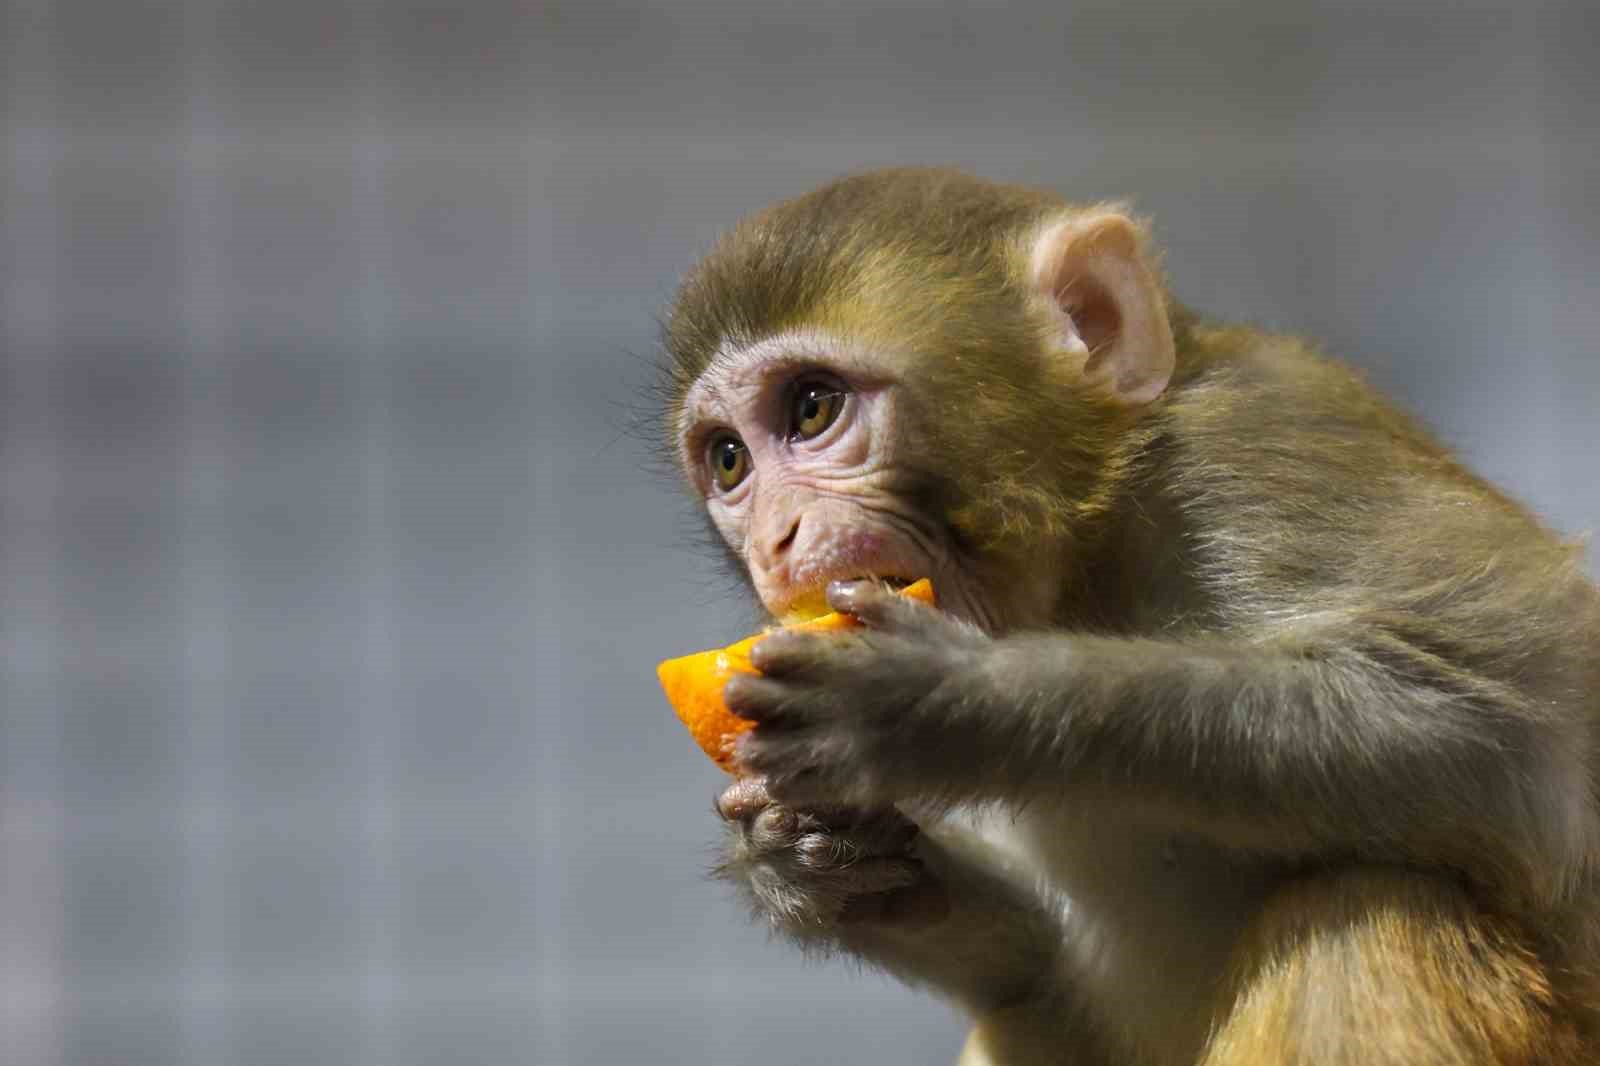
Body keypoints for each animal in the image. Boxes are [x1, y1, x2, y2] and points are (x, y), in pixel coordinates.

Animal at [652, 168, 1600, 1062]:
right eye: (730, 460)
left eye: (812, 407)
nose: (774, 541)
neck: (1093, 560)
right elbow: (1040, 978)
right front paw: (810, 858)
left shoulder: (1264, 448)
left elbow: (1515, 732)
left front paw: (945, 702)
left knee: (1368, 909)